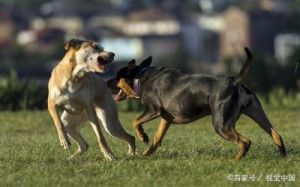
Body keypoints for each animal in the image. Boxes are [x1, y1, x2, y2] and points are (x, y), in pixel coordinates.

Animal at [107, 47, 286, 159]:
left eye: (116, 77)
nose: (106, 81)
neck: (139, 77)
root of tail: (235, 81)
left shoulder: (153, 110)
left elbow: (135, 121)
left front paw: (143, 137)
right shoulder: (166, 118)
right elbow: (157, 138)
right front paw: (147, 154)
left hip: (221, 124)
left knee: (245, 142)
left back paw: (235, 160)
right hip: (257, 113)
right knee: (276, 134)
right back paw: (283, 156)